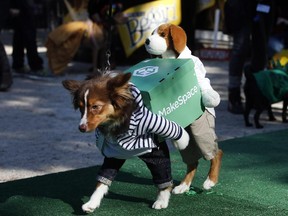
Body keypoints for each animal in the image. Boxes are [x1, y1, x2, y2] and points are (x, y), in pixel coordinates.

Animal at [62, 72, 189, 213]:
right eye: (80, 108)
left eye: (95, 106)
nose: (81, 128)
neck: (115, 123)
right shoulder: (113, 155)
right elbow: (102, 181)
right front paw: (92, 203)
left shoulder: (156, 146)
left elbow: (163, 176)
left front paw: (162, 200)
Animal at [145, 23, 224, 192]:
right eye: (152, 33)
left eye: (163, 34)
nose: (147, 41)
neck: (171, 59)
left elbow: (204, 83)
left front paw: (211, 98)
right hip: (186, 138)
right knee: (192, 160)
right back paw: (183, 186)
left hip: (201, 131)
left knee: (215, 152)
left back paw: (211, 180)